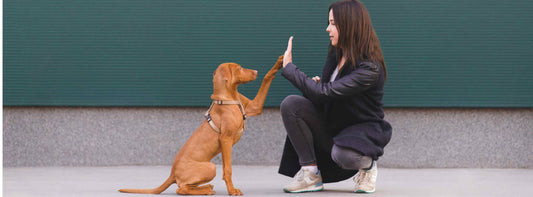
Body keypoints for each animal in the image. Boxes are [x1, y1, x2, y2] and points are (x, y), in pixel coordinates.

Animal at [119, 55, 284, 195]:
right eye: (239, 68)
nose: (256, 71)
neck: (228, 98)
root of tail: (172, 173)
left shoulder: (254, 107)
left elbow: (266, 78)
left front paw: (280, 62)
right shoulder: (226, 139)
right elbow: (228, 169)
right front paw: (232, 190)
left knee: (185, 186)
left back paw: (206, 187)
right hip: (210, 167)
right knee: (181, 189)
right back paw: (205, 190)